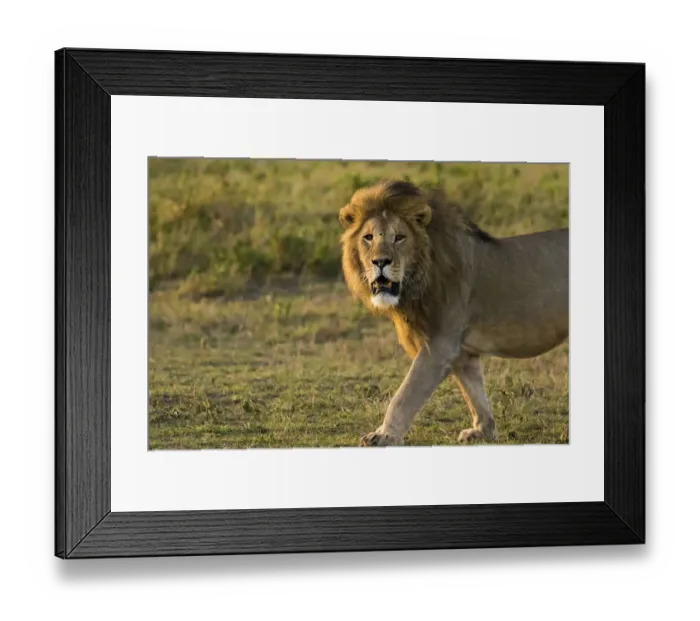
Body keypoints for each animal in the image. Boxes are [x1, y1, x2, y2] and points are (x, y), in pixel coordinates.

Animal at [339, 179, 569, 447]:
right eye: (368, 238)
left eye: (399, 237)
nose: (380, 262)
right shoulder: (461, 351)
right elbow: (474, 392)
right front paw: (482, 430)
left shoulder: (440, 345)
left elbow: (405, 394)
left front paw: (384, 435)